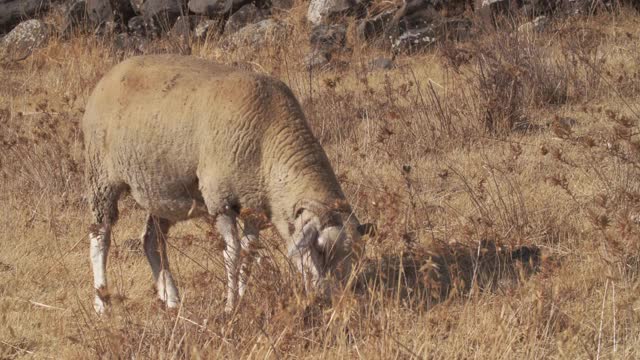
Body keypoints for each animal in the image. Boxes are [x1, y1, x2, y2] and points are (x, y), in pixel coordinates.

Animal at [82, 54, 372, 314]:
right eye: (320, 249)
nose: (337, 301)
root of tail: (112, 73)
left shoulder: (255, 208)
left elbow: (249, 253)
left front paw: (243, 297)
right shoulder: (220, 200)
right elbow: (232, 253)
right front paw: (231, 307)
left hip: (160, 191)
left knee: (151, 241)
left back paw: (171, 300)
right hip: (101, 178)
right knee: (100, 238)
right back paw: (102, 304)